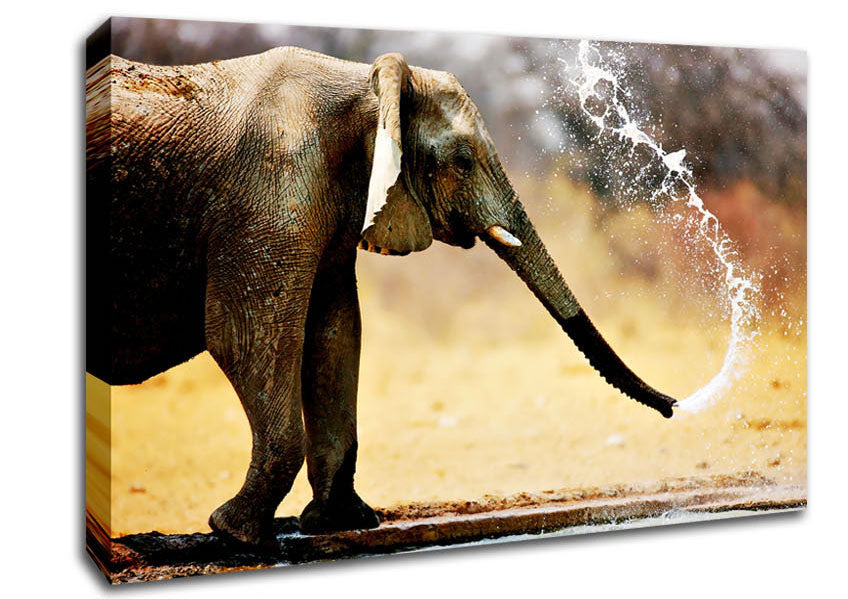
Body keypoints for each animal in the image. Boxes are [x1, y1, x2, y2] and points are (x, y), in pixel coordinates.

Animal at [85, 47, 677, 548]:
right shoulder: (269, 193)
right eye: (463, 161)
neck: (368, 83)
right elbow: (245, 335)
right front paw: (236, 534)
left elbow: (335, 332)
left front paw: (343, 522)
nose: (674, 406)